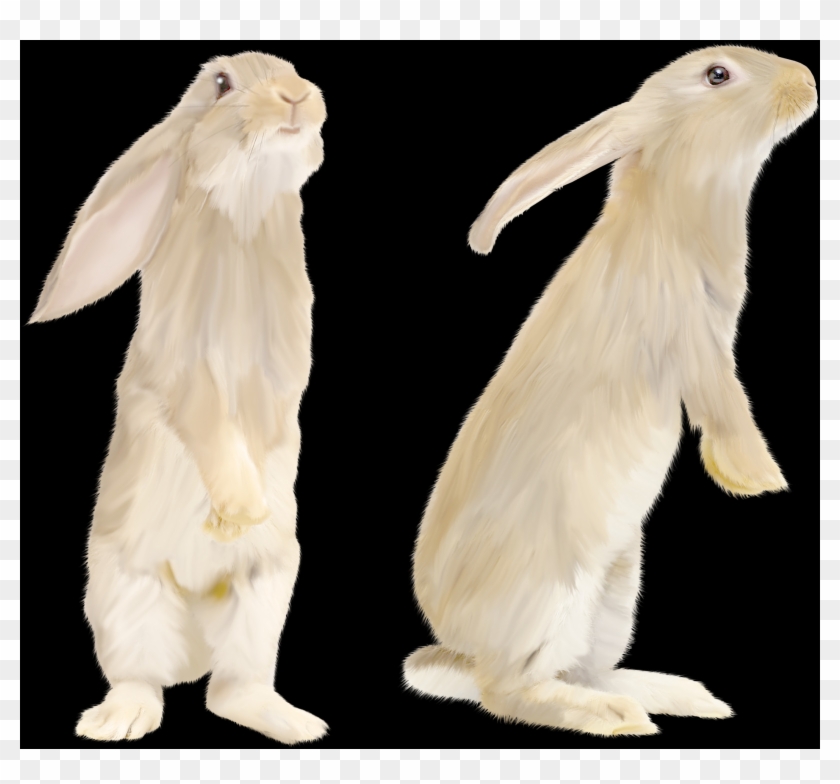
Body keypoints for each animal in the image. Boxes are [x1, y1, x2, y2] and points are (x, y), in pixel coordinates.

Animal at [29, 52, 329, 744]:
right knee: (142, 679)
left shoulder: (281, 379)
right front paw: (239, 509)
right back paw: (114, 723)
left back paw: (297, 724)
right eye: (220, 83)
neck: (244, 215)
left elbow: (271, 427)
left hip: (265, 591)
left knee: (233, 689)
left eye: (292, 68)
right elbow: (207, 422)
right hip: (126, 594)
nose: (296, 96)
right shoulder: (186, 372)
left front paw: (243, 516)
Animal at [404, 46, 817, 736]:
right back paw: (619, 717)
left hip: (616, 591)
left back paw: (686, 696)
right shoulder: (694, 341)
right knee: (509, 693)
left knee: (581, 670)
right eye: (718, 75)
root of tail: (460, 648)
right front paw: (761, 480)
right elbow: (727, 405)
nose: (808, 81)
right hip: (550, 600)